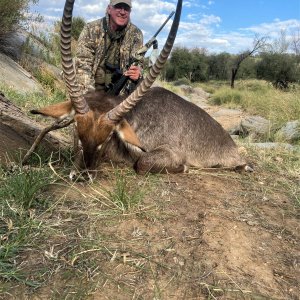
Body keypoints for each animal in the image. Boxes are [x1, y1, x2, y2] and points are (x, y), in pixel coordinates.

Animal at [30, 0, 252, 177]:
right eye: (76, 129)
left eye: (109, 136)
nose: (82, 175)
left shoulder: (169, 152)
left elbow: (142, 163)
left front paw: (184, 168)